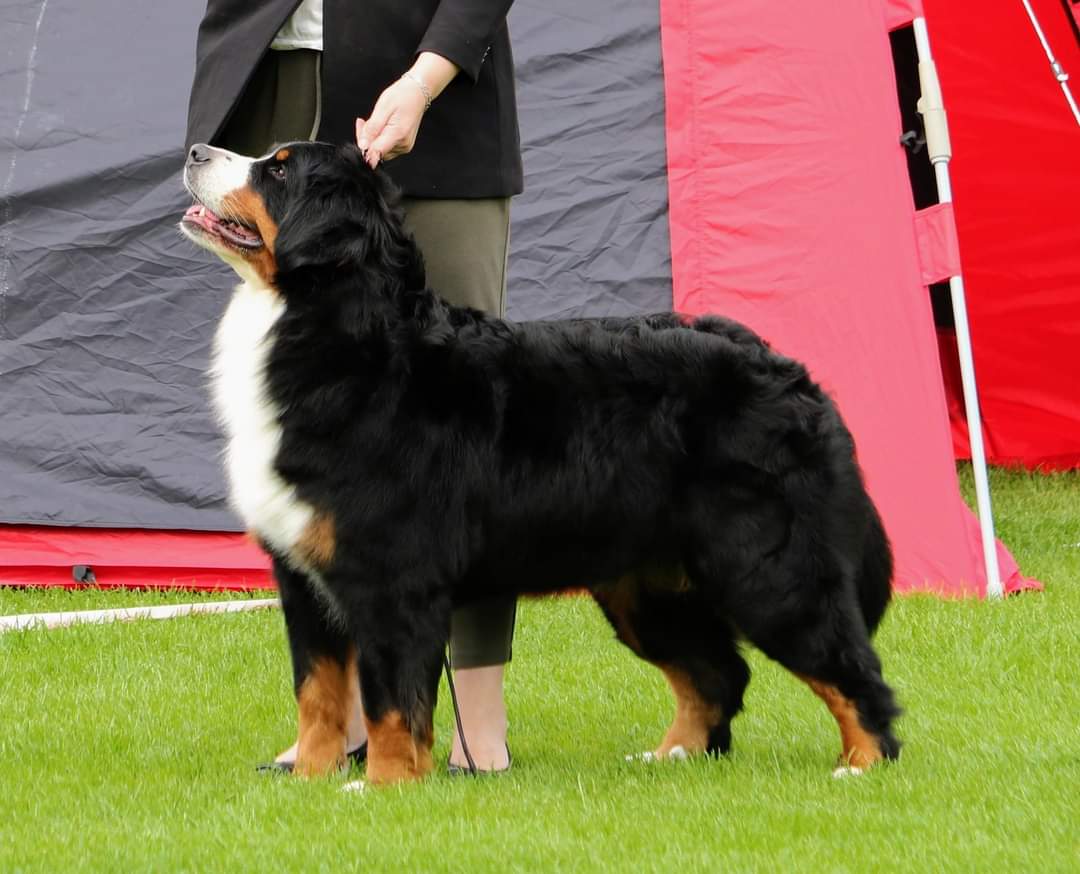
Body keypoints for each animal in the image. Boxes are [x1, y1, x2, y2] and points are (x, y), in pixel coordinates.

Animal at [180, 140, 900, 785]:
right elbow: (319, 695)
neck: (333, 331)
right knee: (719, 673)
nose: (194, 151)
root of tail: (789, 370)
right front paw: (309, 781)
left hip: (767, 567)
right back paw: (672, 755)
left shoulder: (392, 576)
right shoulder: (304, 578)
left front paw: (384, 786)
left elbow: (391, 701)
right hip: (644, 587)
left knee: (850, 667)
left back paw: (862, 764)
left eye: (278, 170)